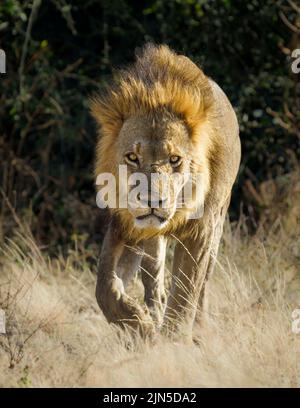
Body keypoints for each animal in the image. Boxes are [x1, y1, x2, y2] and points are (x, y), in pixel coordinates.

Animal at [89, 43, 241, 340]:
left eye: (174, 159)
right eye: (132, 157)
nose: (152, 201)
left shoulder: (201, 229)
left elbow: (185, 292)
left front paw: (172, 341)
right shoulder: (124, 222)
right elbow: (104, 287)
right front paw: (140, 325)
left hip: (218, 225)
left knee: (203, 283)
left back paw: (199, 330)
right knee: (152, 279)